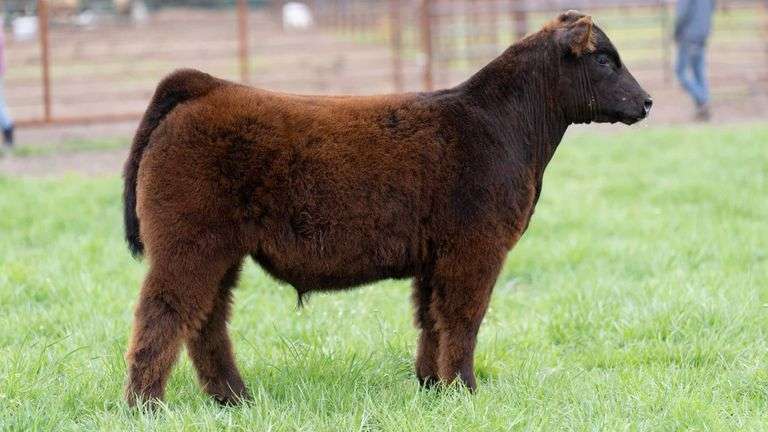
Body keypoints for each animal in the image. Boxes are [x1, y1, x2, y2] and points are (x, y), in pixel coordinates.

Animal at [122, 11, 652, 406]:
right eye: (605, 59)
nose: (646, 101)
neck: (503, 126)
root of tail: (208, 86)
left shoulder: (435, 257)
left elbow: (431, 320)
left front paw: (433, 388)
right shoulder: (475, 248)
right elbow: (463, 319)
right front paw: (466, 390)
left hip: (220, 252)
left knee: (205, 320)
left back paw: (234, 398)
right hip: (188, 245)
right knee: (163, 313)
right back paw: (146, 405)